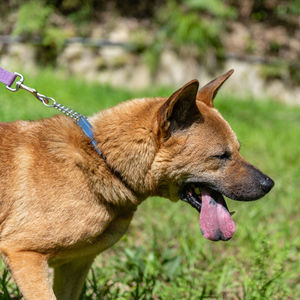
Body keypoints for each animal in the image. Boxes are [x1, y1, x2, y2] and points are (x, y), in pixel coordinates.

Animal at [0, 69, 274, 298]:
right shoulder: (24, 254)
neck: (102, 161)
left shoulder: (75, 264)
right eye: (221, 156)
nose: (269, 184)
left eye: (238, 150)